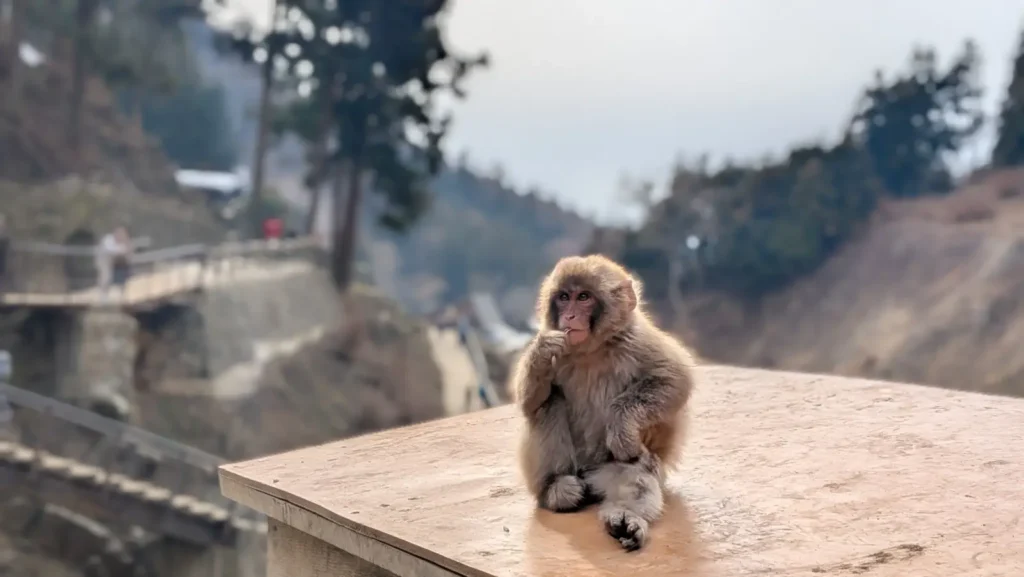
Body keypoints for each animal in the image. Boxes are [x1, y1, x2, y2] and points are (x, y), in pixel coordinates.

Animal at [511, 254, 695, 552]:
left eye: (584, 297)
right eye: (564, 297)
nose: (570, 316)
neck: (592, 349)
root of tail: (589, 476)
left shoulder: (638, 340)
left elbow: (675, 380)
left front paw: (621, 428)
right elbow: (529, 402)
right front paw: (541, 351)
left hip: (611, 470)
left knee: (637, 469)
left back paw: (626, 518)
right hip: (573, 468)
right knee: (550, 403)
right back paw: (556, 489)